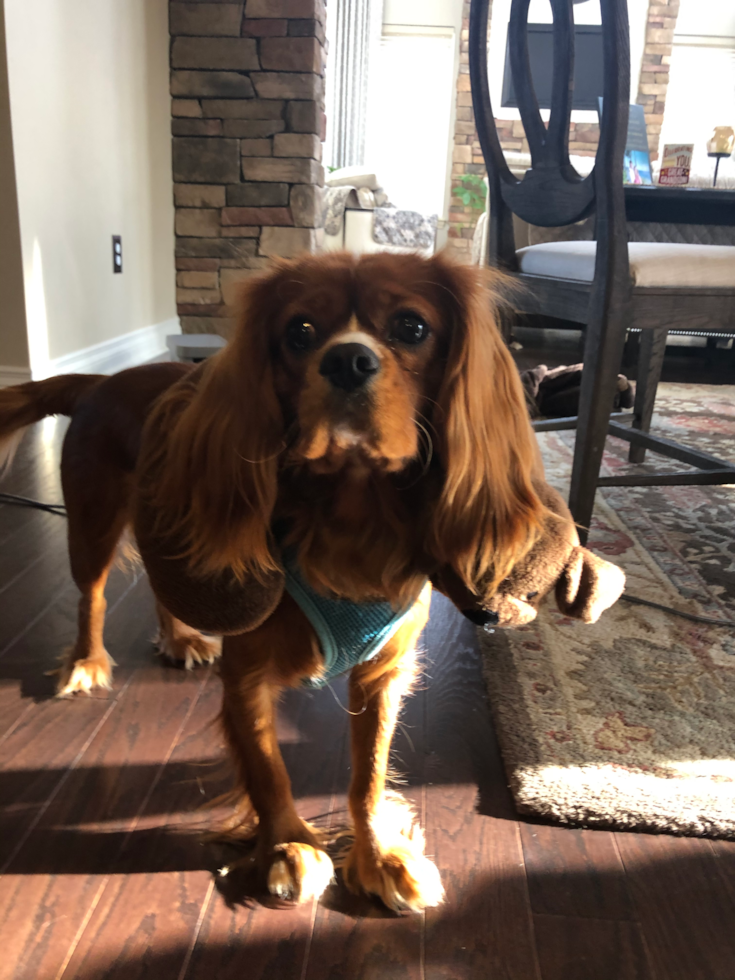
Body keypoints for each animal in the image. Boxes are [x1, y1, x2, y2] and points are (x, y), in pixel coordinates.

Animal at [0, 253, 624, 912]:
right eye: (299, 332)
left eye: (412, 327)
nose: (347, 359)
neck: (352, 513)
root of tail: (99, 381)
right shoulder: (247, 675)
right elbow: (268, 769)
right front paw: (287, 846)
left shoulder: (383, 672)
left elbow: (368, 773)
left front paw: (379, 855)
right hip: (93, 521)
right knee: (91, 596)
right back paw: (87, 663)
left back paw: (180, 639)